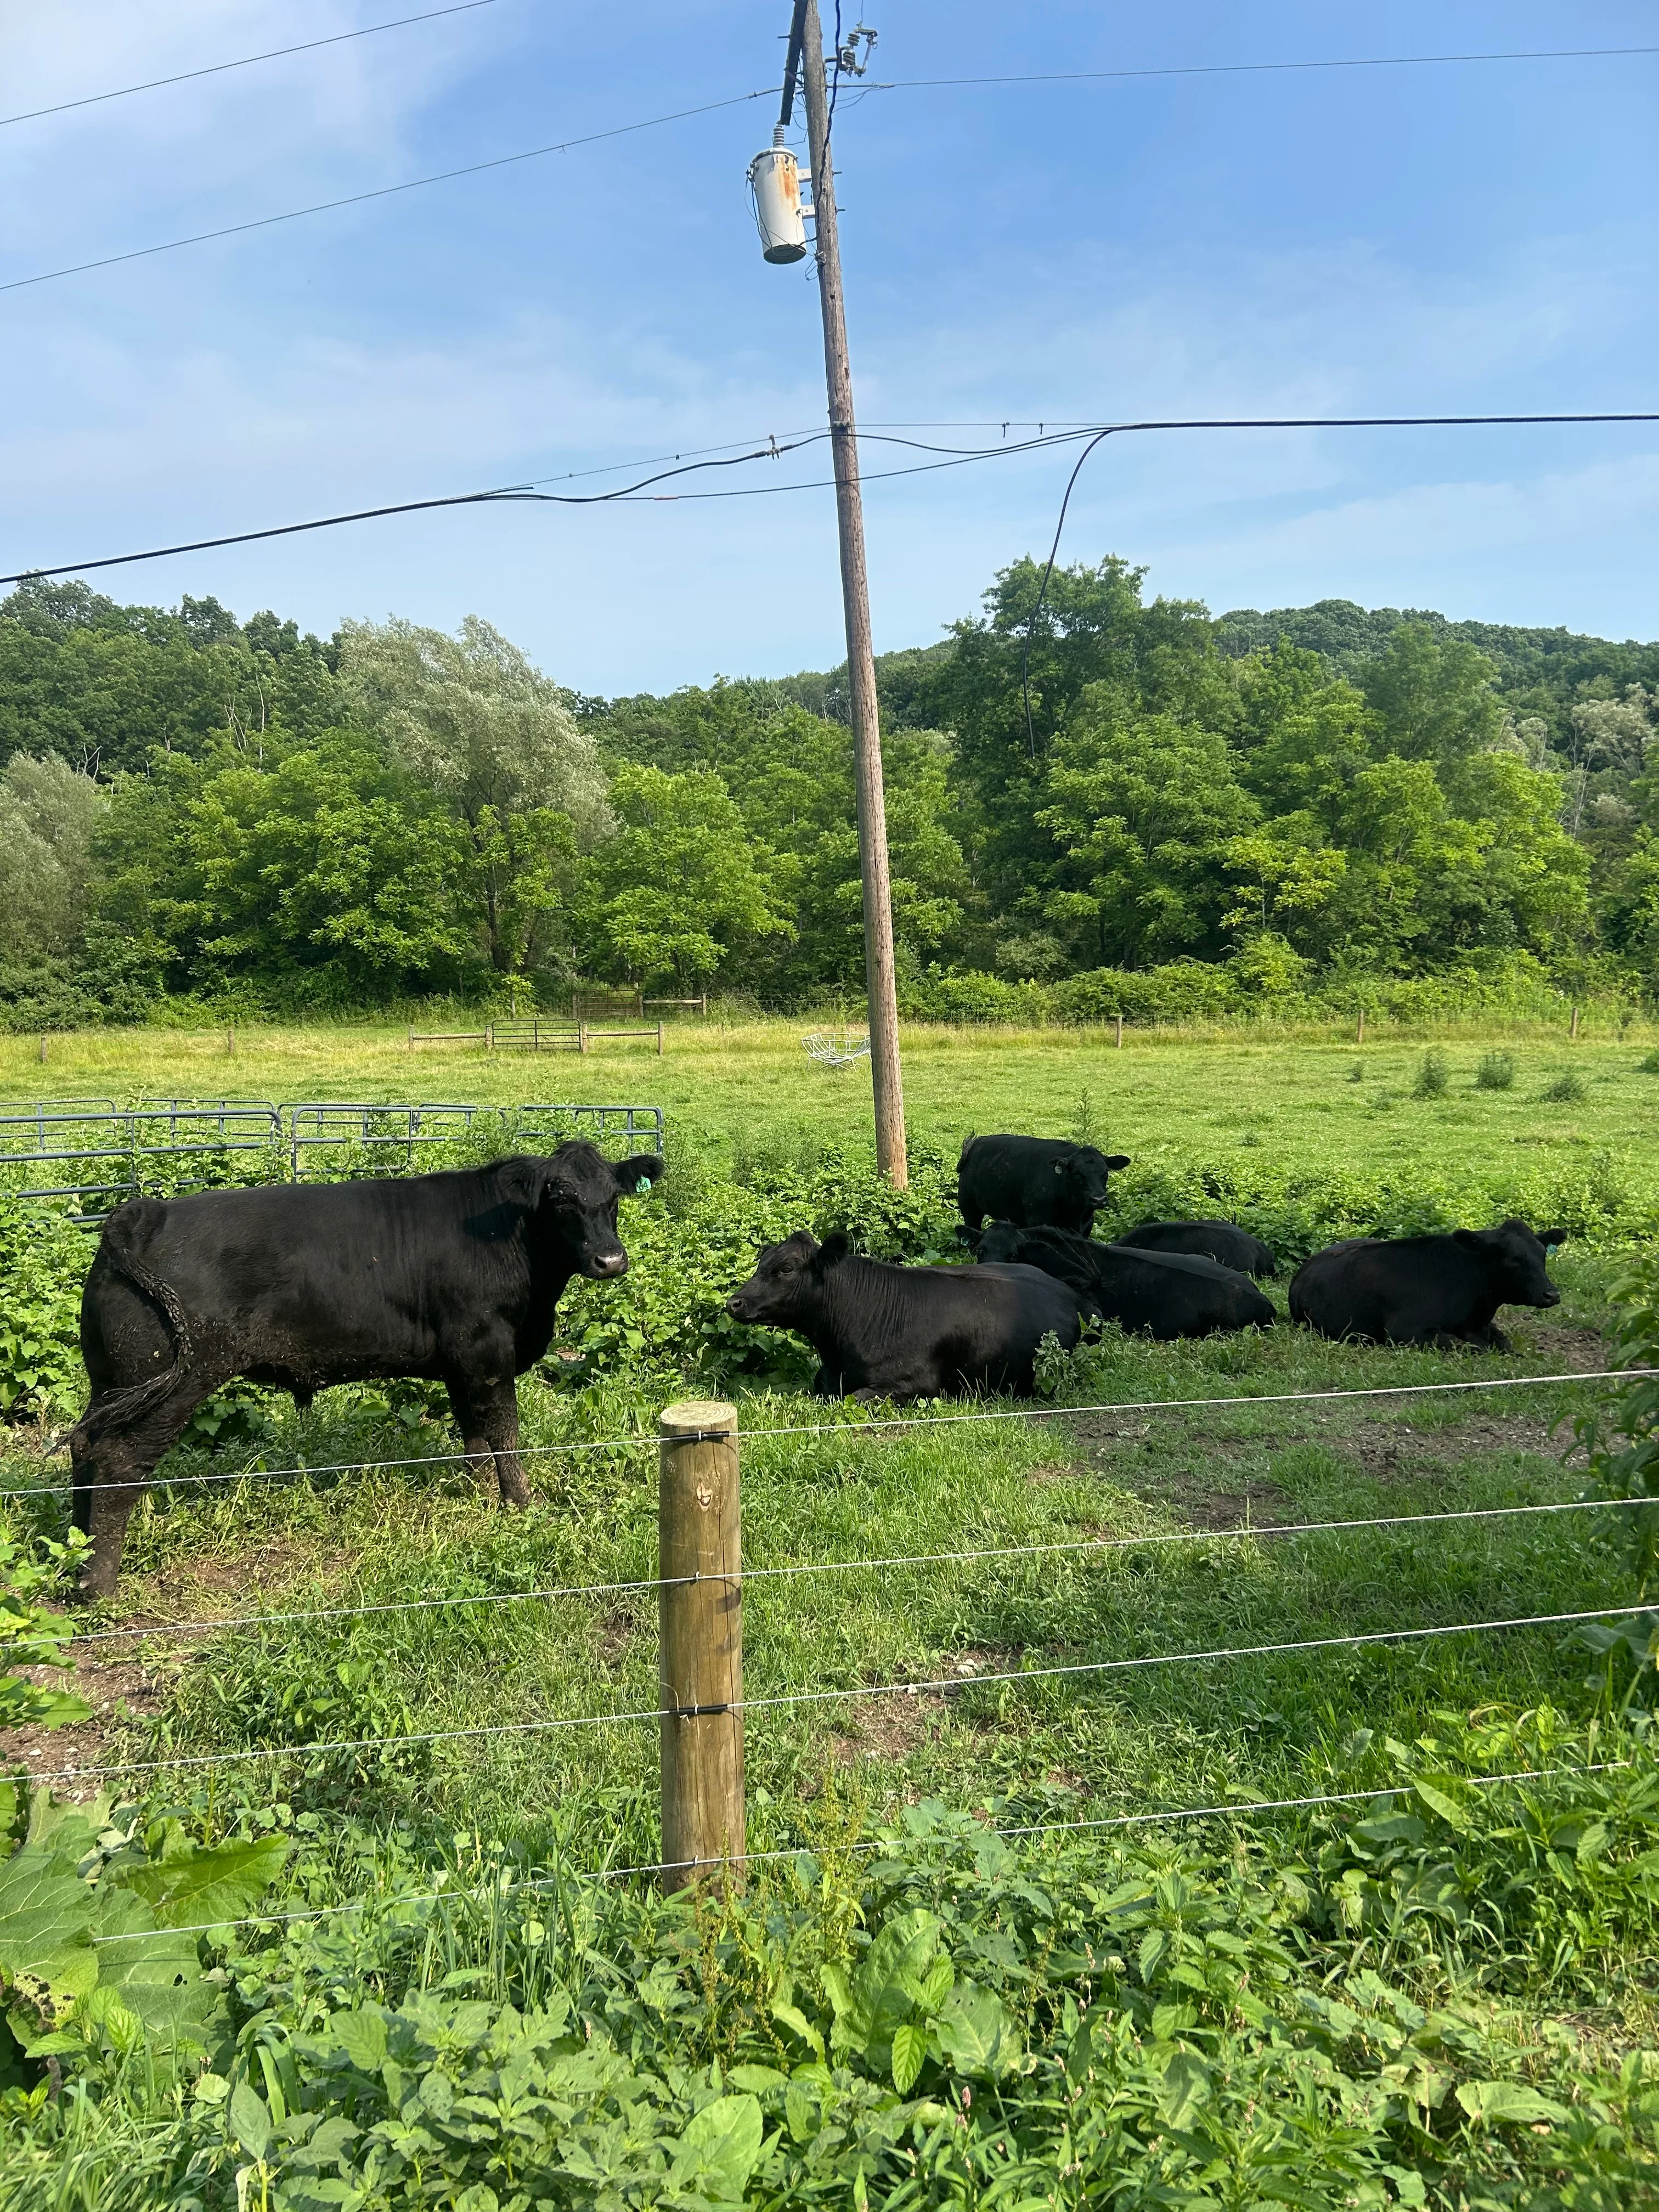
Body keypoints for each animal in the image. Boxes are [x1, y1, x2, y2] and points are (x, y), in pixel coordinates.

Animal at [67, 1142, 664, 1597]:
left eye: (614, 1198)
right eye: (560, 1201)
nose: (610, 1260)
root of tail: (139, 1214)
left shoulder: (461, 1362)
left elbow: (473, 1433)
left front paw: (476, 1495)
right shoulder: (487, 1349)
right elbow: (504, 1431)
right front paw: (521, 1502)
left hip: (113, 1383)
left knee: (85, 1449)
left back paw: (75, 1554)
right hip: (172, 1383)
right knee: (119, 1462)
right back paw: (100, 1584)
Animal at [724, 1229, 1087, 1401]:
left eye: (786, 1269)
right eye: (762, 1261)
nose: (734, 1303)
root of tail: (1068, 1293)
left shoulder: (916, 1384)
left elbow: (855, 1398)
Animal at [958, 1134, 1132, 1234]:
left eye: (1105, 1173)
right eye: (1077, 1173)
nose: (1099, 1199)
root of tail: (977, 1142)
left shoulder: (1087, 1225)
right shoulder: (1038, 1219)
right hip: (969, 1207)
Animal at [1288, 1220, 1568, 1349]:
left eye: (1542, 1255)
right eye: (1513, 1260)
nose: (1551, 1294)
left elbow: (1504, 1344)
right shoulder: (1404, 1331)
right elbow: (1465, 1346)